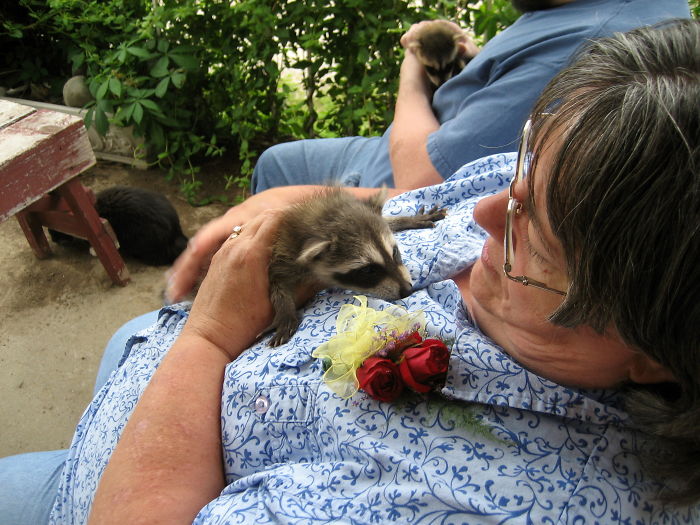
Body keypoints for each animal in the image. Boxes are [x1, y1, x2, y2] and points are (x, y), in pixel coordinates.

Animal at [266, 188, 446, 346]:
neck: (326, 216)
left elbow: (386, 221)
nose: (408, 290)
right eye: (368, 270)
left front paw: (406, 220)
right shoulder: (286, 251)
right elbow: (277, 282)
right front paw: (285, 312)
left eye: (394, 252)